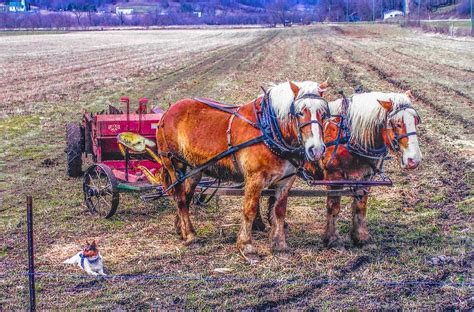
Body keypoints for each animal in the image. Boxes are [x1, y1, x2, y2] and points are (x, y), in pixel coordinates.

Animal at [156, 80, 330, 258]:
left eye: (324, 113)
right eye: (300, 112)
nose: (316, 149)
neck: (269, 130)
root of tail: (167, 111)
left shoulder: (286, 180)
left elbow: (279, 211)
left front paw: (280, 244)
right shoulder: (255, 178)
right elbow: (250, 210)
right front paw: (246, 245)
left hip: (194, 170)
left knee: (186, 196)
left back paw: (181, 229)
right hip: (174, 165)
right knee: (180, 198)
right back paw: (191, 236)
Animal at [322, 91, 422, 247]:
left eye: (416, 121)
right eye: (397, 124)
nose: (414, 160)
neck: (348, 136)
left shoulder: (365, 176)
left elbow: (360, 206)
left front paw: (360, 237)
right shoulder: (334, 177)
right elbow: (333, 207)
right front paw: (332, 238)